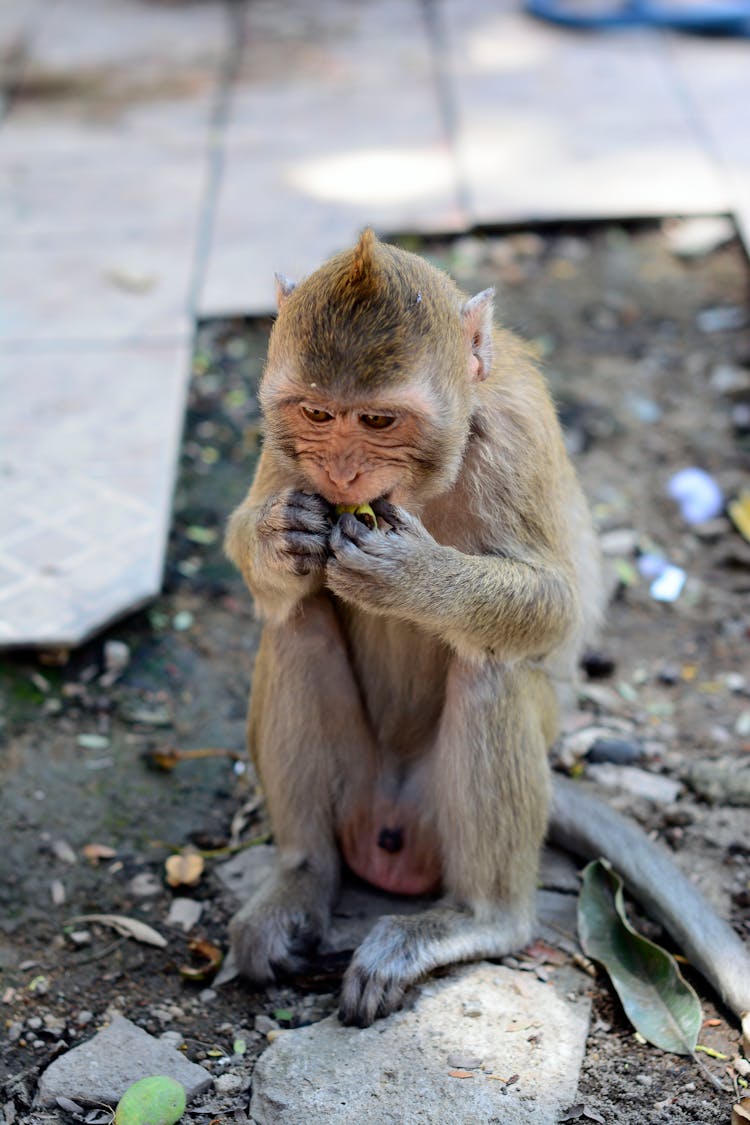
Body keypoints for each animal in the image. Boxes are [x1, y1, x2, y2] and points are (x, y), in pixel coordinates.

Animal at [226, 230, 750, 1035]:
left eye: (379, 422)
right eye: (316, 412)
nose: (341, 472)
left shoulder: (517, 432)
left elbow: (559, 604)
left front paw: (411, 574)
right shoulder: (285, 448)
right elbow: (249, 548)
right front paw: (283, 535)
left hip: (437, 806)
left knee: (490, 668)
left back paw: (479, 918)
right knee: (297, 623)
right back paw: (302, 878)